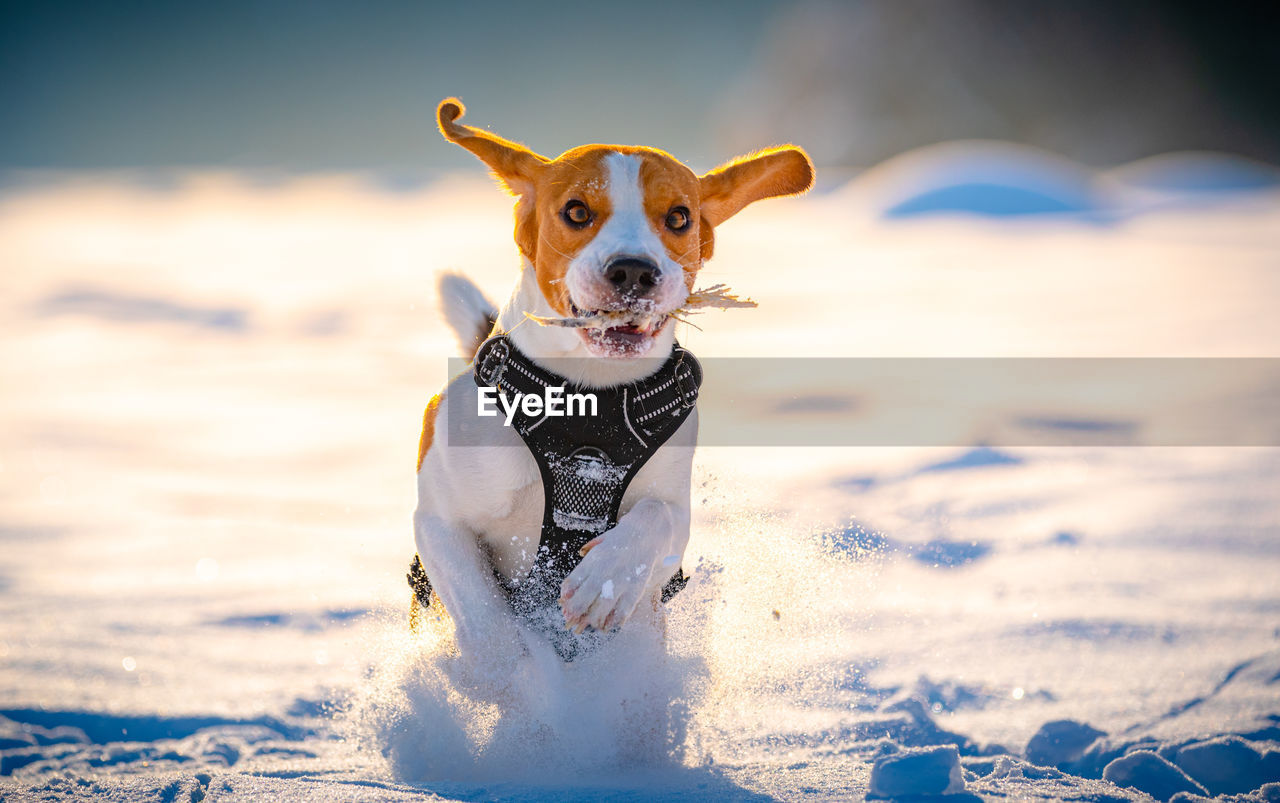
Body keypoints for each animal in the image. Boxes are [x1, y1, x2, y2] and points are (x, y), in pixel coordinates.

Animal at [412, 97, 808, 671]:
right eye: (577, 211)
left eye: (679, 217)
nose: (634, 270)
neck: (589, 397)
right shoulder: (440, 523)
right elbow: (484, 615)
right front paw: (508, 675)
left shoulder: (673, 508)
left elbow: (657, 517)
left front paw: (606, 582)